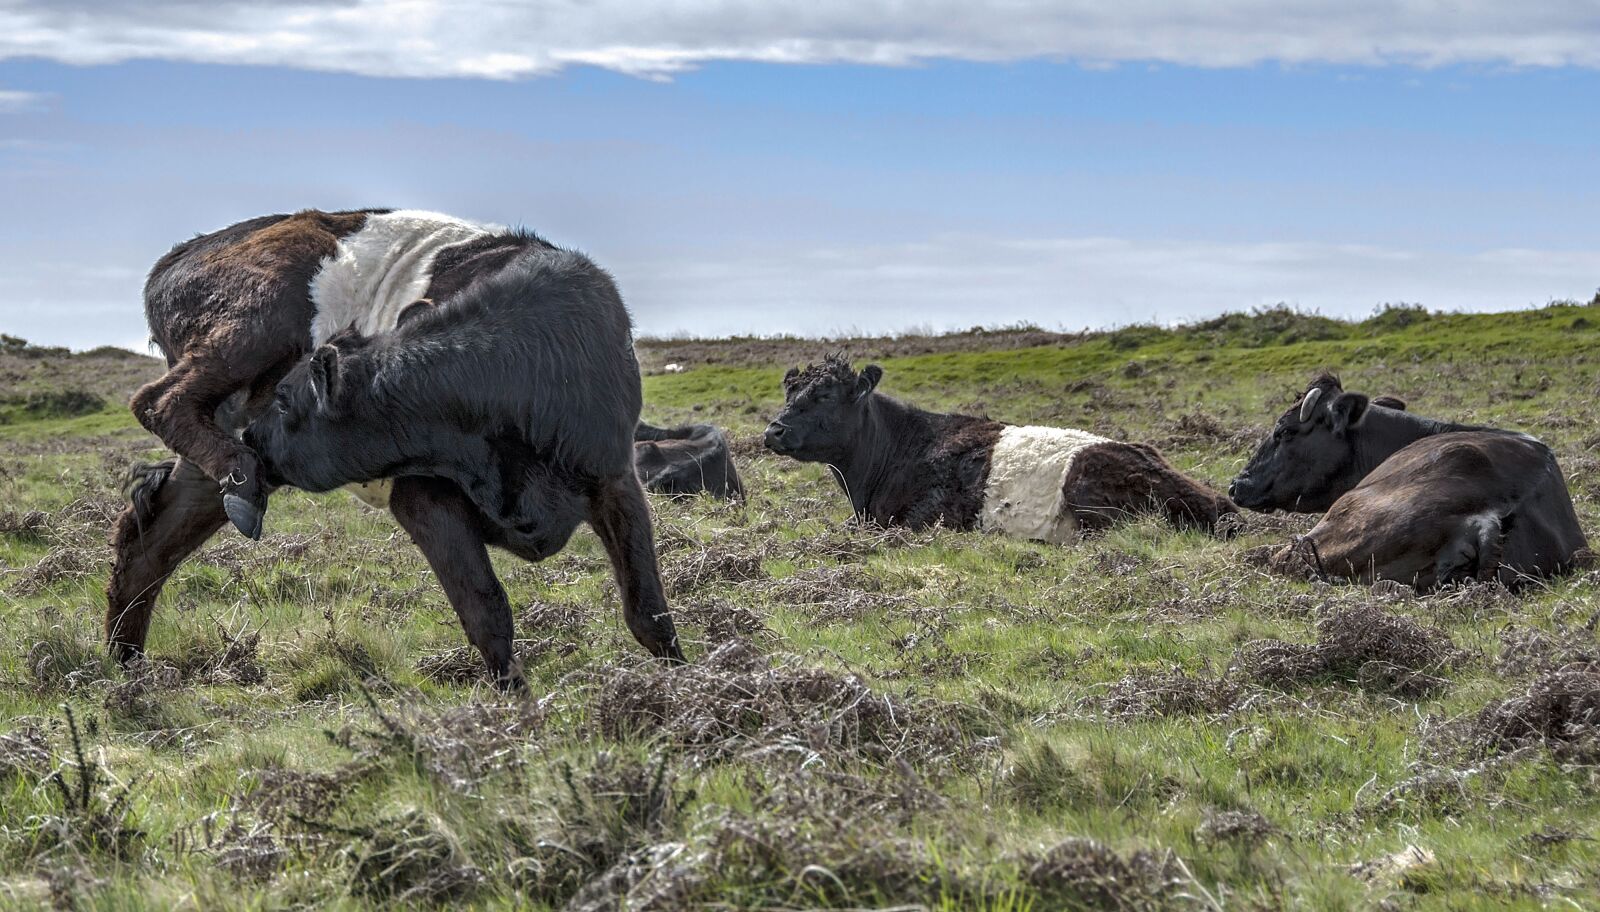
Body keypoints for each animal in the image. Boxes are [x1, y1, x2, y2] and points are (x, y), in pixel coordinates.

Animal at [109, 209, 682, 688]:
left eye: (286, 400)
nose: (254, 436)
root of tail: (182, 254)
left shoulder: (613, 475)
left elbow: (647, 610)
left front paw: (685, 691)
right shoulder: (421, 495)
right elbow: (487, 613)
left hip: (223, 440)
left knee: (148, 542)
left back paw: (127, 669)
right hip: (255, 324)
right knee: (158, 401)